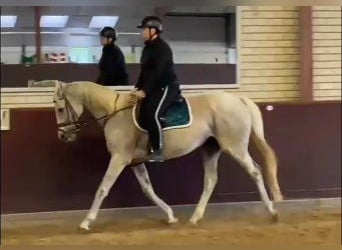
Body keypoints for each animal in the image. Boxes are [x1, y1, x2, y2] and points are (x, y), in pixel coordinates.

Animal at [51, 80, 284, 230]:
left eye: (60, 108)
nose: (62, 135)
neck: (115, 113)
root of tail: (238, 99)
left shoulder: (119, 158)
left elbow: (102, 188)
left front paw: (86, 222)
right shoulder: (134, 162)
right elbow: (148, 190)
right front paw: (171, 216)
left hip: (234, 147)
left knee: (255, 172)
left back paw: (272, 213)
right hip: (211, 149)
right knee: (210, 180)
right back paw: (195, 218)